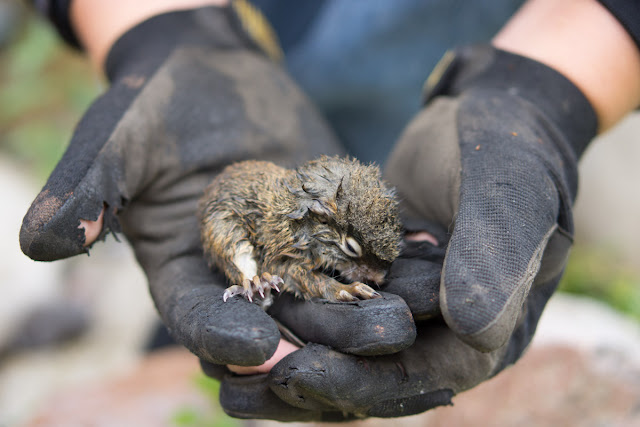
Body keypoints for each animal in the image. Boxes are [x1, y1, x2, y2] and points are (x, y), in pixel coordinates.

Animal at [198, 155, 402, 306]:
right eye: (351, 248)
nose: (381, 278)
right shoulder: (282, 249)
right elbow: (300, 277)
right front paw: (346, 289)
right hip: (223, 229)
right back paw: (256, 284)